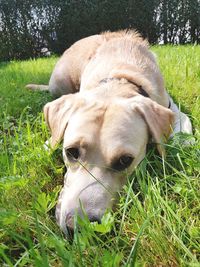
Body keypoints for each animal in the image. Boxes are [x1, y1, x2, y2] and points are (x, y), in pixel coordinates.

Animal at [26, 30, 192, 234]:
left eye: (125, 161)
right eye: (70, 152)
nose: (78, 227)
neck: (119, 78)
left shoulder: (170, 105)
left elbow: (184, 127)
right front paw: (46, 145)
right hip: (59, 82)